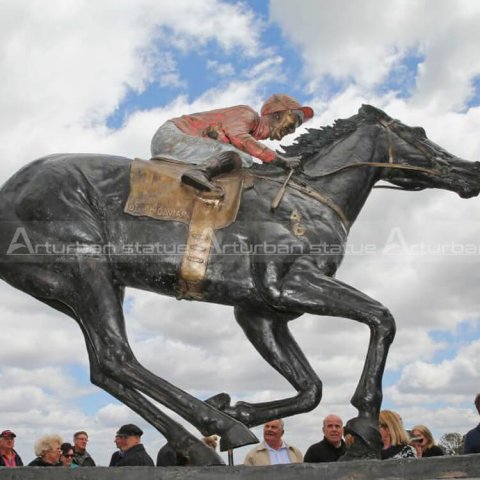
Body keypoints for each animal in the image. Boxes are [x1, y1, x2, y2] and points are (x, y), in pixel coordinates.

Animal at [0, 106, 480, 464]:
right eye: (418, 132)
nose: (472, 170)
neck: (305, 197)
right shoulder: (287, 283)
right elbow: (383, 319)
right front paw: (363, 428)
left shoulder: (261, 313)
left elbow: (311, 388)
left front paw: (238, 407)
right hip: (87, 265)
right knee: (119, 357)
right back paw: (215, 430)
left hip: (74, 288)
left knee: (103, 365)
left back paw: (203, 437)